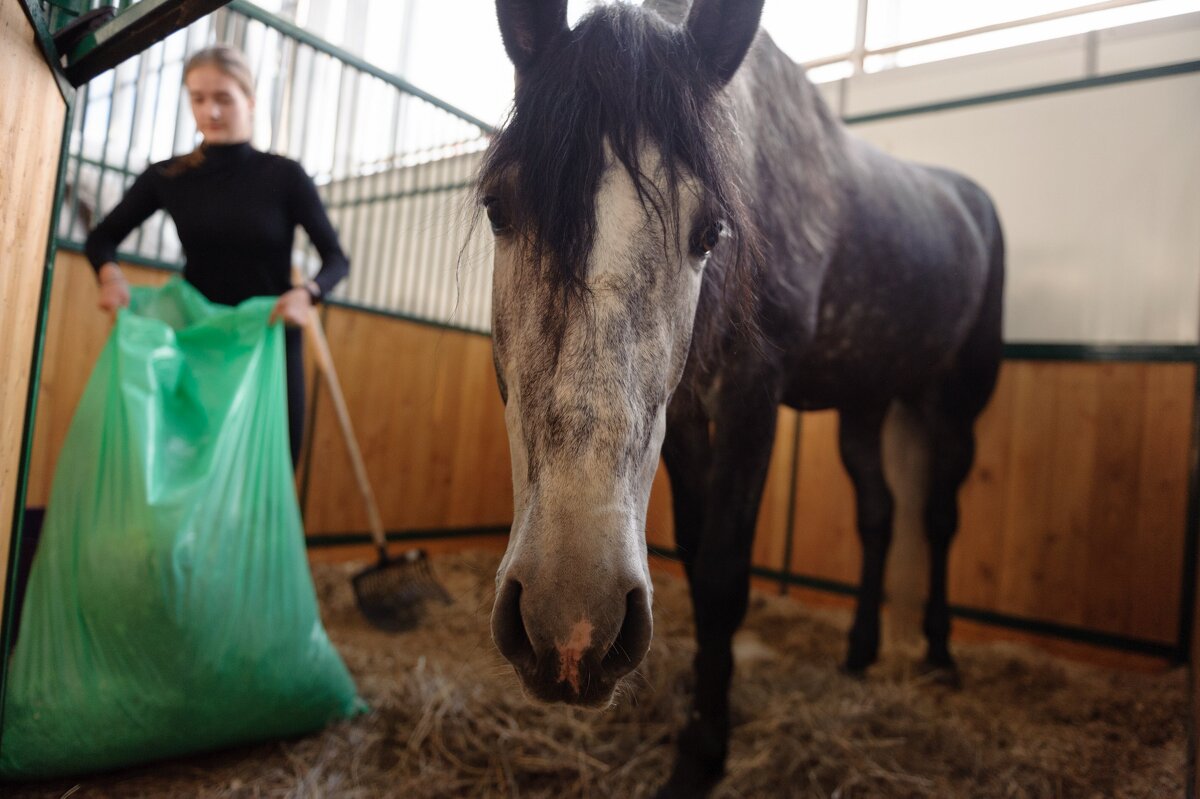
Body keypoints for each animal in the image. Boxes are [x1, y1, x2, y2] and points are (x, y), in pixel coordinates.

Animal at [477, 1, 1003, 791]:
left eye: (711, 231)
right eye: (496, 207)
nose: (571, 626)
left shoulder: (755, 391)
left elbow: (725, 575)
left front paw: (702, 755)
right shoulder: (690, 414)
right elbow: (699, 563)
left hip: (953, 405)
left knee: (939, 519)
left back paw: (939, 655)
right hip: (866, 402)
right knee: (879, 514)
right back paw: (859, 652)